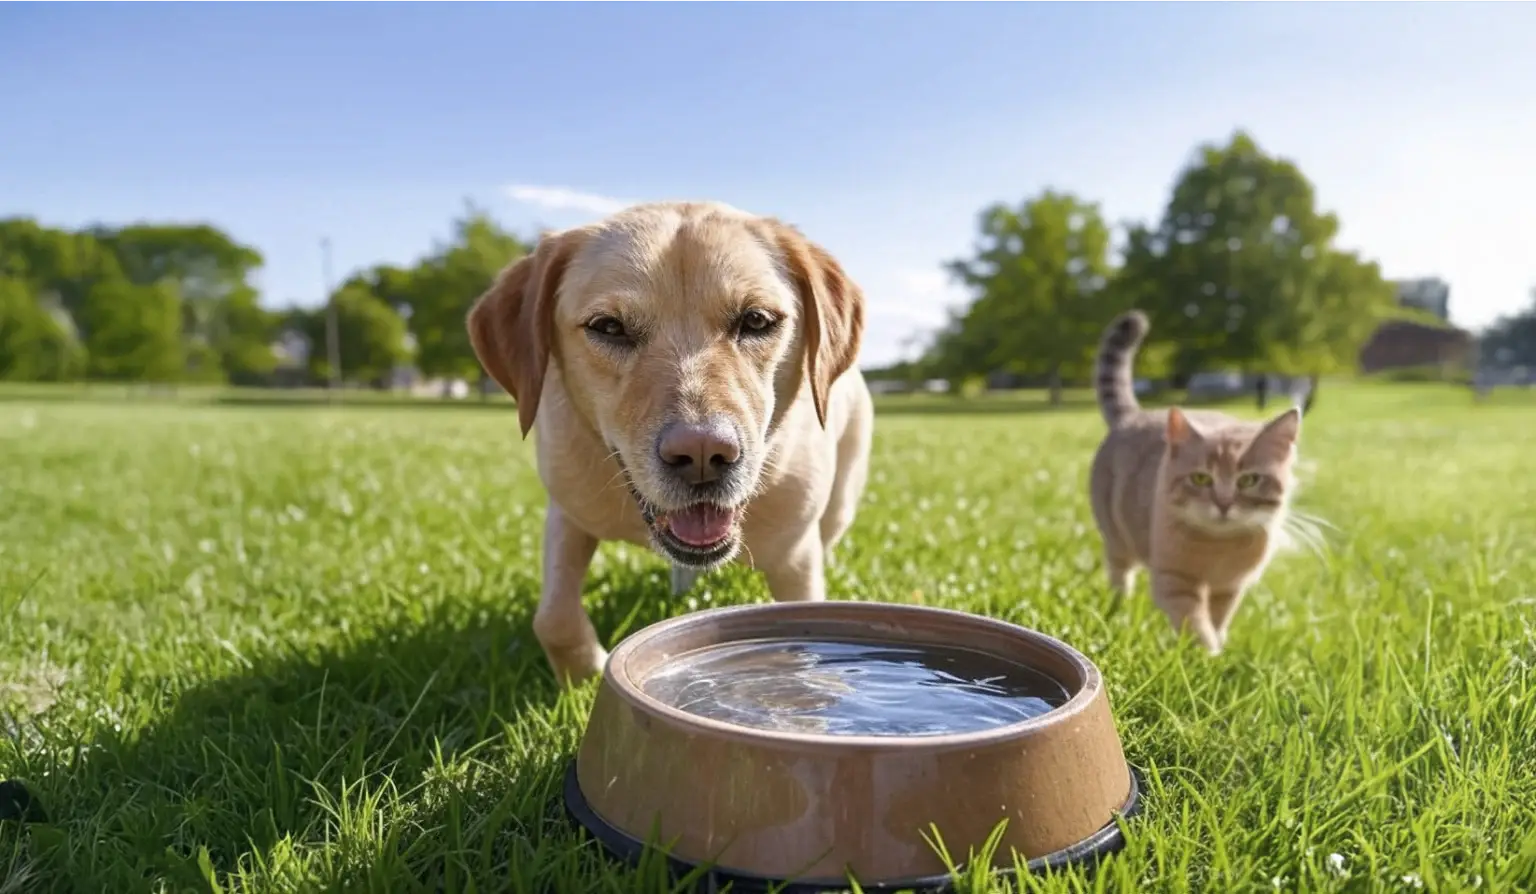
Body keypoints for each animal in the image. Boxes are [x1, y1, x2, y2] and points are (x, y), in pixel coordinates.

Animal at [466, 199, 872, 688]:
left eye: (756, 320)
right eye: (608, 327)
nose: (702, 455)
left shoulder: (797, 563)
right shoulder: (567, 510)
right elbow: (554, 617)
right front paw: (586, 675)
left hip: (840, 504)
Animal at [1087, 311, 1302, 654]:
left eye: (1249, 480)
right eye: (1201, 478)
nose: (1224, 503)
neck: (1218, 549)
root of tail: (1135, 415)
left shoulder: (1229, 587)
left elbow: (1218, 617)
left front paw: (1219, 644)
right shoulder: (1175, 581)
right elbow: (1195, 621)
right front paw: (1207, 654)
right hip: (1116, 537)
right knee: (1120, 572)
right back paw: (1119, 606)